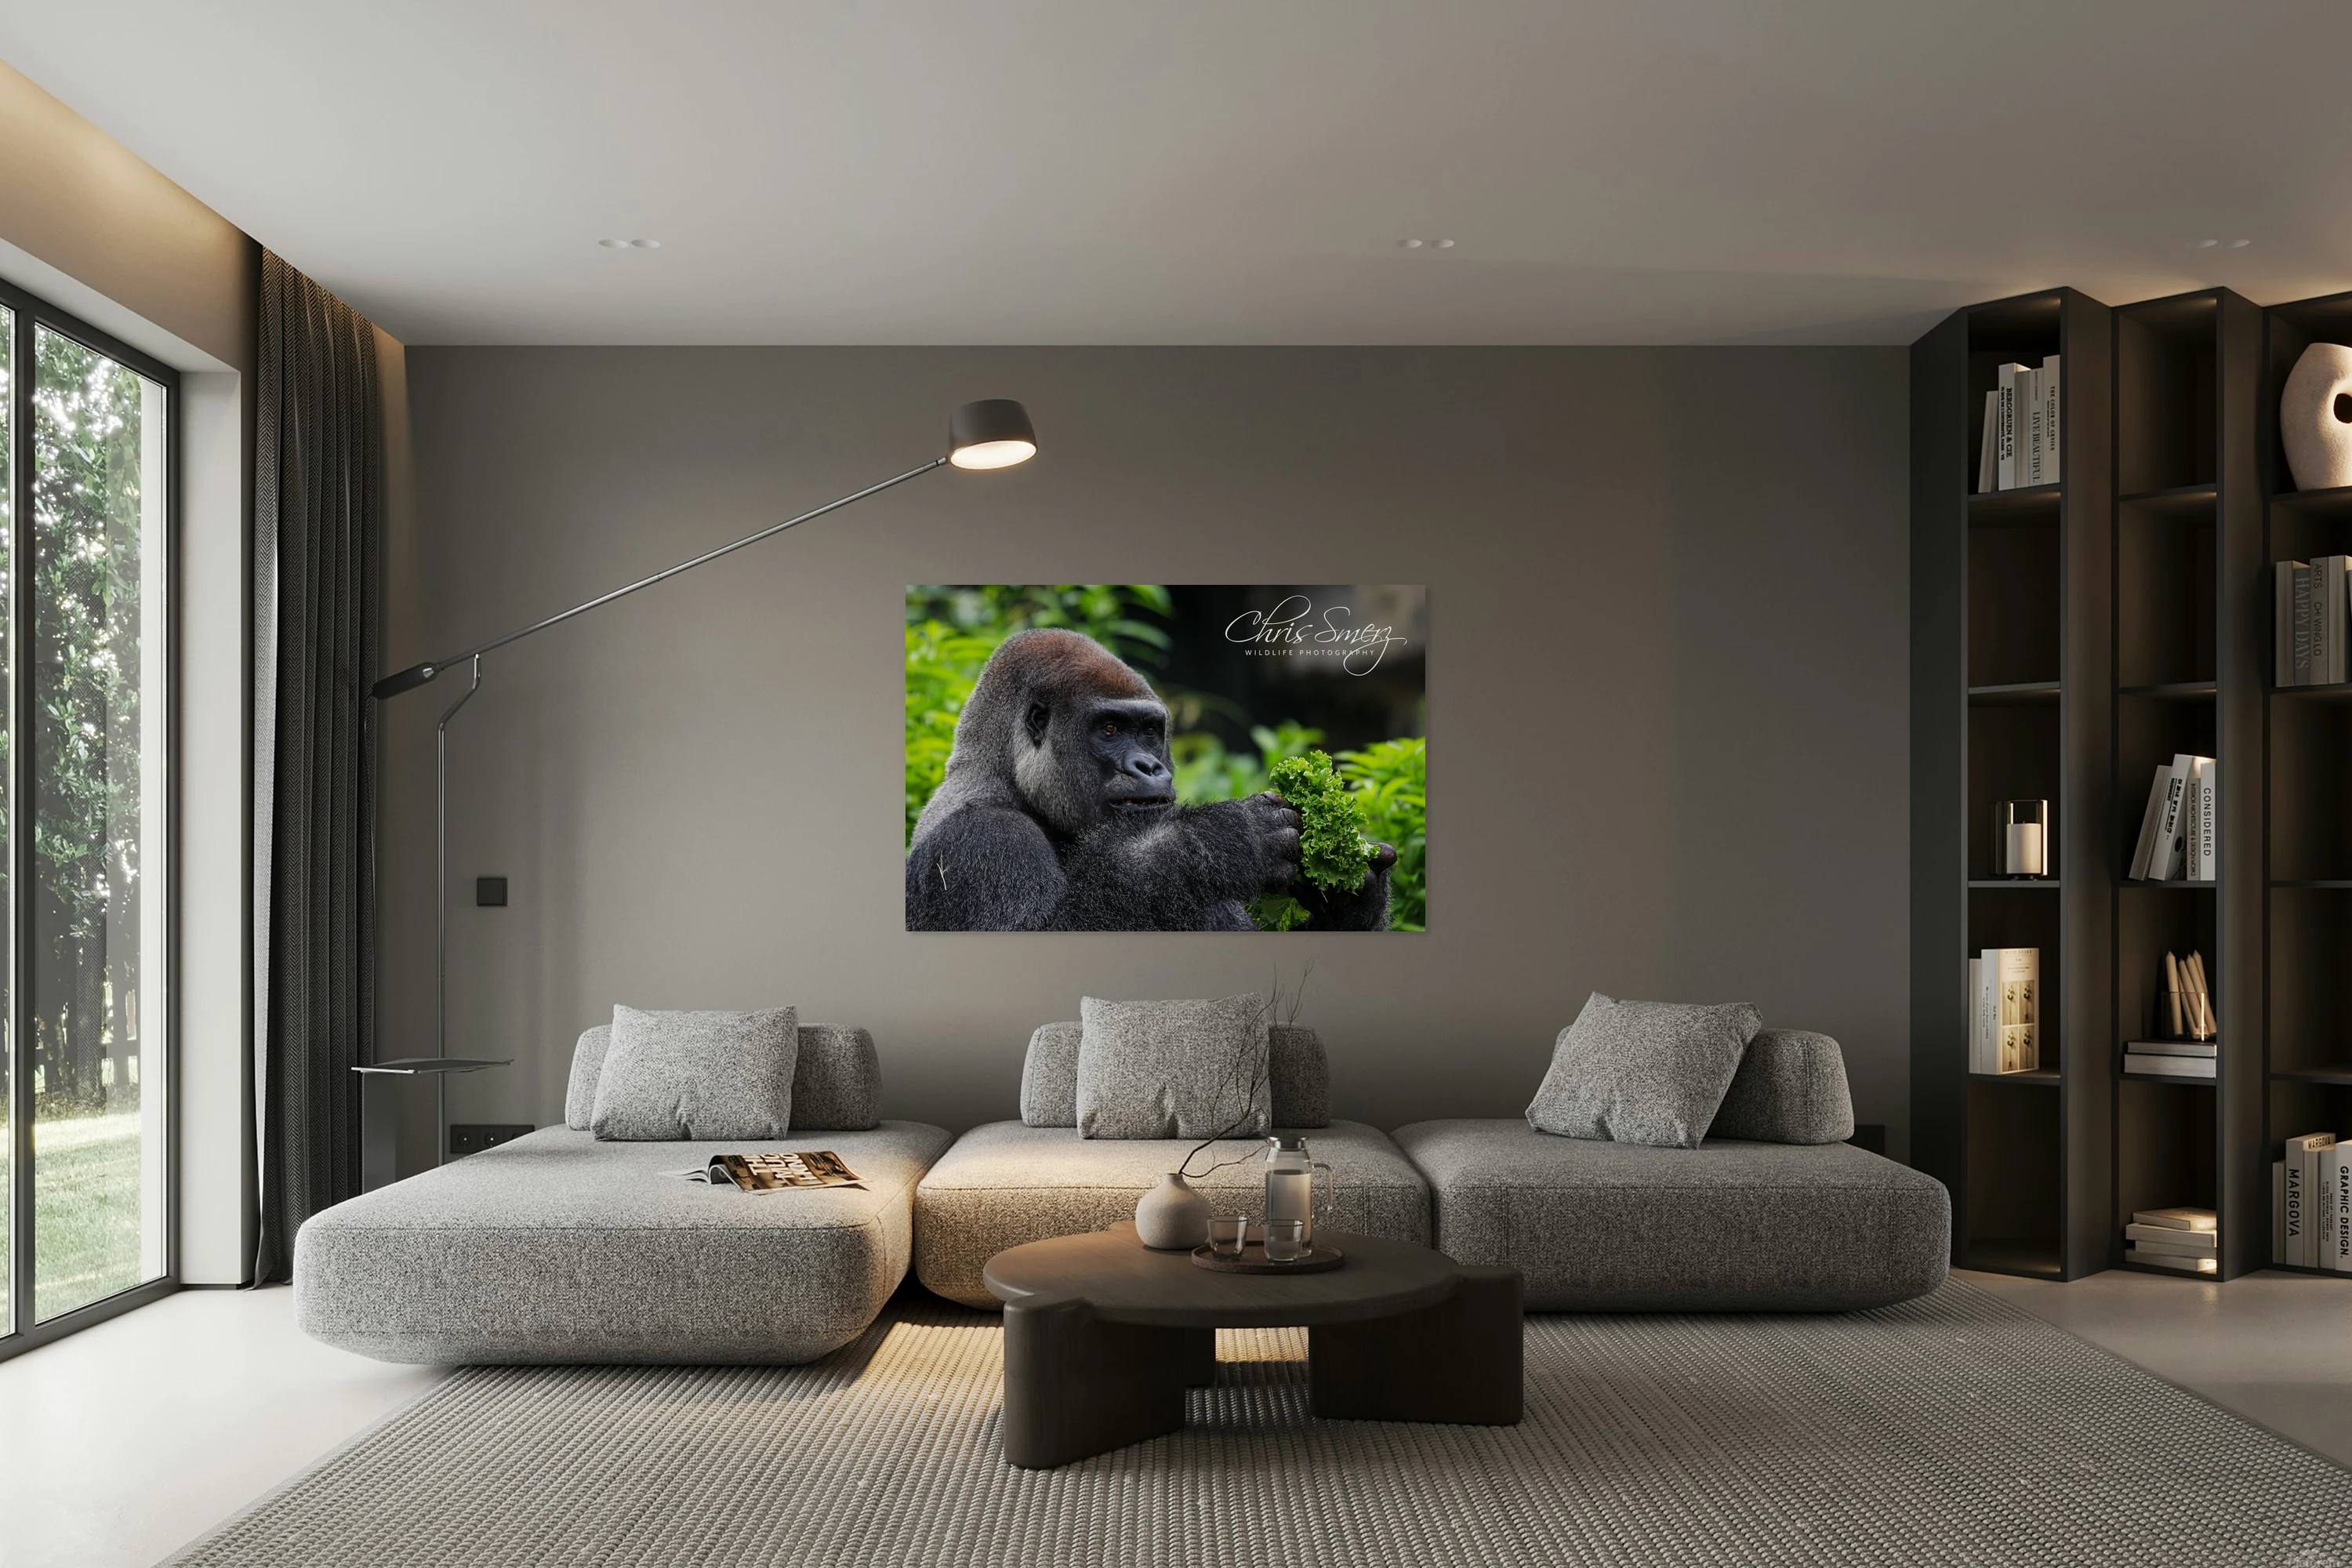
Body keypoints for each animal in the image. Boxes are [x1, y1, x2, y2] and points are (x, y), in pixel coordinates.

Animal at [905, 628, 1395, 932]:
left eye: (1148, 731)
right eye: (1109, 729)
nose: (1150, 767)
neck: (1001, 776)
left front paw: (1358, 905)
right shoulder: (985, 839)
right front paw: (1219, 842)